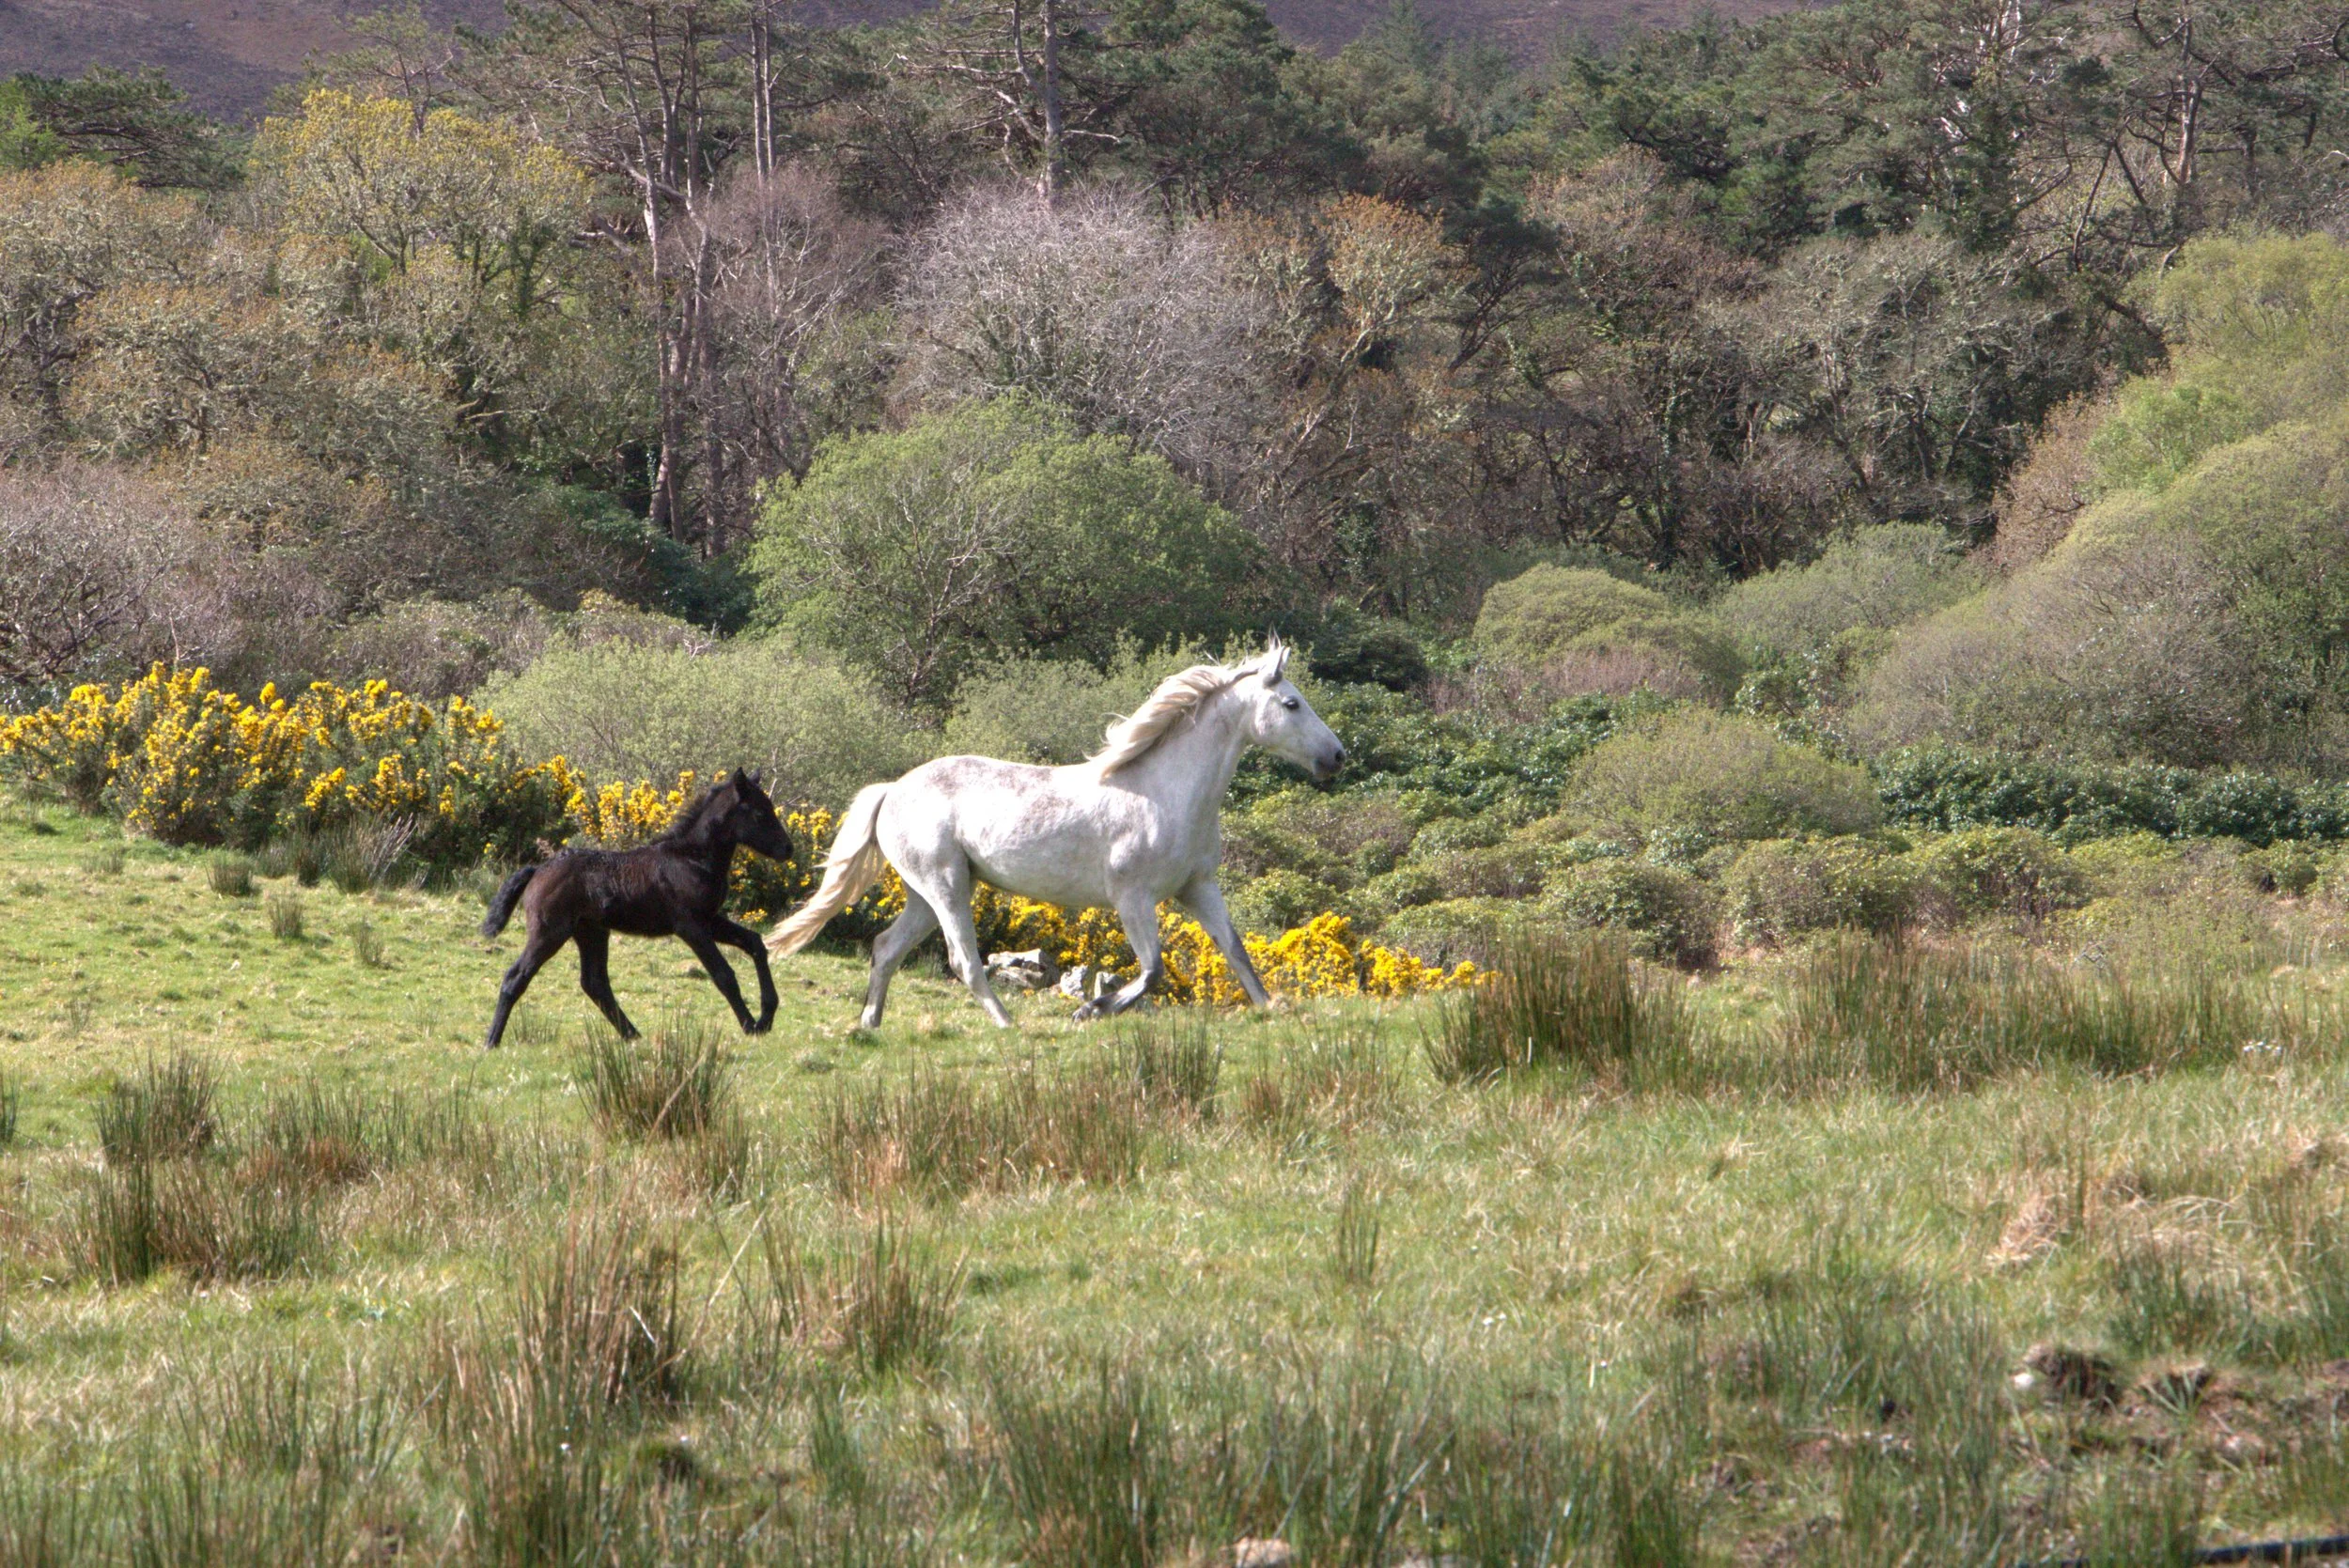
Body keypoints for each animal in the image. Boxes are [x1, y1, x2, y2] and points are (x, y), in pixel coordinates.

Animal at [478, 769, 794, 1049]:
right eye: (760, 813)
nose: (787, 849)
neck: (691, 859)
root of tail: (538, 870)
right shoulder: (690, 926)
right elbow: (724, 975)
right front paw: (751, 1025)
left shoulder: (711, 919)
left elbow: (755, 943)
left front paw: (766, 1016)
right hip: (549, 932)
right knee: (516, 978)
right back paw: (491, 1041)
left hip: (591, 932)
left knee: (595, 983)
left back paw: (633, 1036)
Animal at [767, 636, 1344, 1028]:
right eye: (1292, 704)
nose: (1337, 756)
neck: (1166, 793)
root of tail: (893, 789)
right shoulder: (1133, 897)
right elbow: (1153, 970)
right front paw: (1091, 1009)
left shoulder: (1199, 888)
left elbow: (1237, 953)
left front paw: (1273, 1011)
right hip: (945, 886)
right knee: (964, 961)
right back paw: (1007, 1025)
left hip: (927, 893)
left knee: (887, 947)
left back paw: (869, 1025)